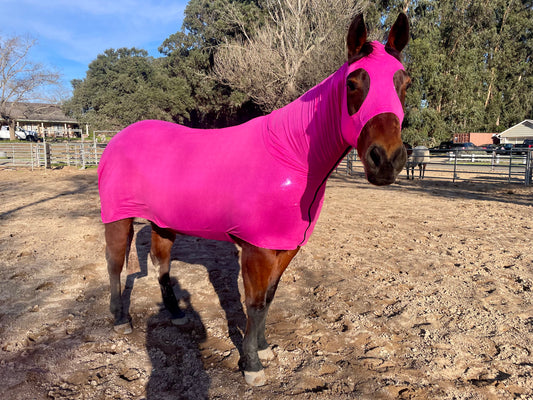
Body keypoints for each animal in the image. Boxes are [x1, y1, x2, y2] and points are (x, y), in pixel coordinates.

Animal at [97, 13, 410, 388]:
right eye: (352, 83)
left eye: (405, 84)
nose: (386, 160)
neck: (291, 155)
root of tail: (116, 139)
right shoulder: (257, 249)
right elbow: (256, 303)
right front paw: (251, 365)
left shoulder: (285, 247)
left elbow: (269, 299)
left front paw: (263, 349)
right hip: (118, 218)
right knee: (115, 264)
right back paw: (120, 319)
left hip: (163, 222)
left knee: (162, 264)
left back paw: (175, 314)